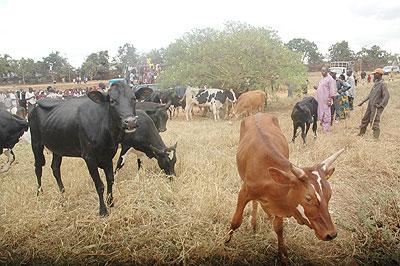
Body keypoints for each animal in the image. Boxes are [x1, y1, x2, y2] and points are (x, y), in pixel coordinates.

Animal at [28, 82, 138, 217]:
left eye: (134, 99)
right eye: (112, 101)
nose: (130, 122)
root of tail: (36, 104)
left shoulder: (108, 155)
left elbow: (110, 180)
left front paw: (111, 203)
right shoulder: (89, 157)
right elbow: (99, 185)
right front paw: (103, 211)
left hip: (57, 147)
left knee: (55, 168)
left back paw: (63, 194)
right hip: (36, 142)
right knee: (38, 167)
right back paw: (40, 193)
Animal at [227, 112, 346, 262]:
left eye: (329, 194)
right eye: (308, 198)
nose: (331, 234)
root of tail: (258, 113)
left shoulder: (279, 206)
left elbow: (278, 229)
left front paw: (282, 255)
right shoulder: (244, 192)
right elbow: (235, 221)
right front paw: (226, 242)